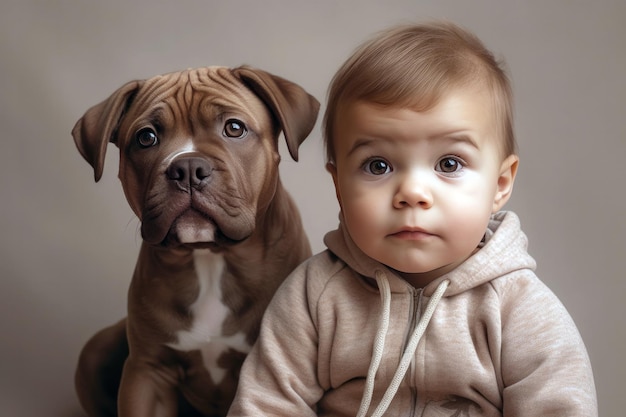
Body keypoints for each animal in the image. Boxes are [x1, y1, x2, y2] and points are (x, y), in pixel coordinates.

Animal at [70, 66, 320, 414]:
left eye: (234, 128)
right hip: (94, 351)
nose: (187, 167)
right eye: (146, 137)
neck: (210, 257)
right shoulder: (148, 372)